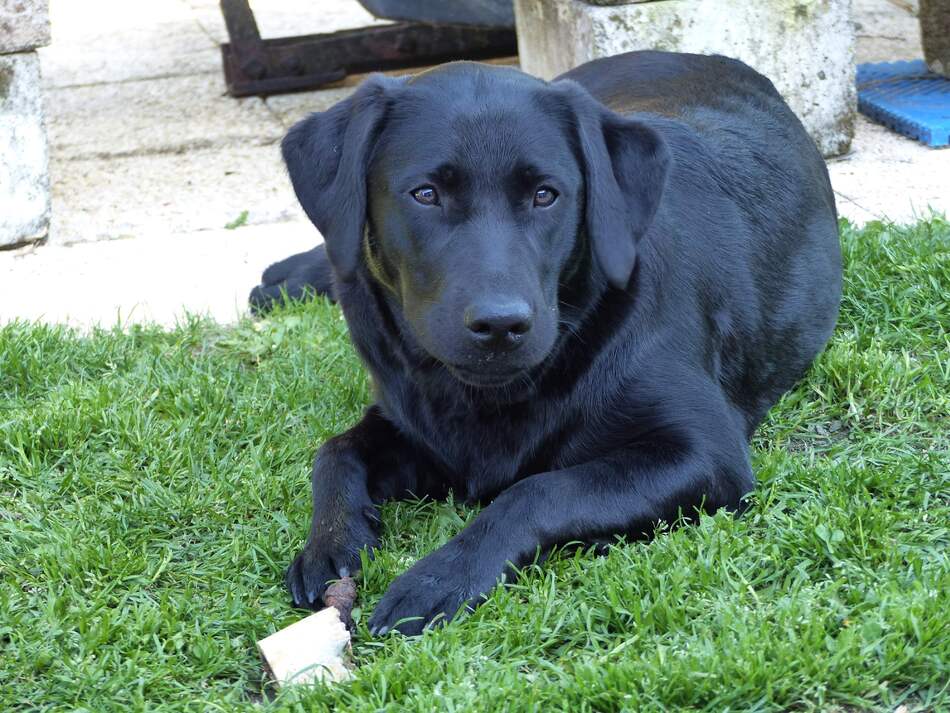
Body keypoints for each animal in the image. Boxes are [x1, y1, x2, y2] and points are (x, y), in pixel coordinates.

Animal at [253, 52, 840, 636]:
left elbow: (539, 489)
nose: (500, 324)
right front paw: (332, 542)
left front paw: (441, 577)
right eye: (425, 194)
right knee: (339, 248)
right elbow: (335, 451)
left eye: (544, 195)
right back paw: (288, 277)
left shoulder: (707, 452)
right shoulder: (410, 419)